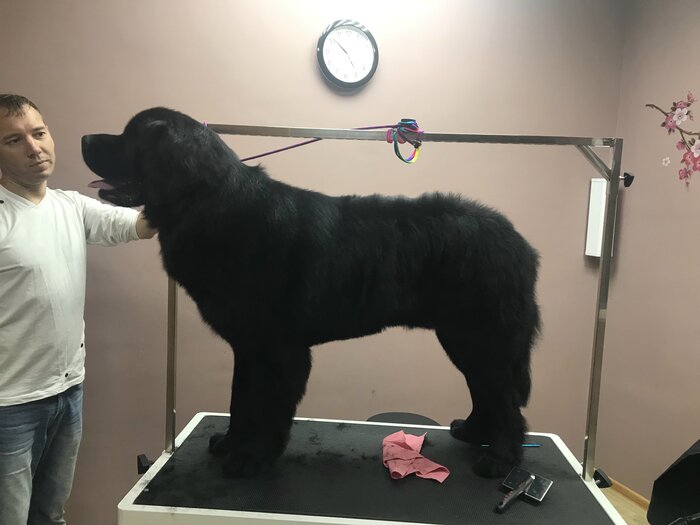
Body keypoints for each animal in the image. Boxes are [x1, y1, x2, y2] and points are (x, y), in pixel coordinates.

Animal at [81, 107, 540, 479]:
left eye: (128, 137)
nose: (84, 137)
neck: (211, 206)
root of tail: (519, 243)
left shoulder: (279, 347)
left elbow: (267, 406)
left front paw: (251, 459)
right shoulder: (247, 346)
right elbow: (240, 400)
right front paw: (230, 444)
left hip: (480, 335)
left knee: (504, 399)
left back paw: (499, 459)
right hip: (463, 338)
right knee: (486, 389)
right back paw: (473, 431)